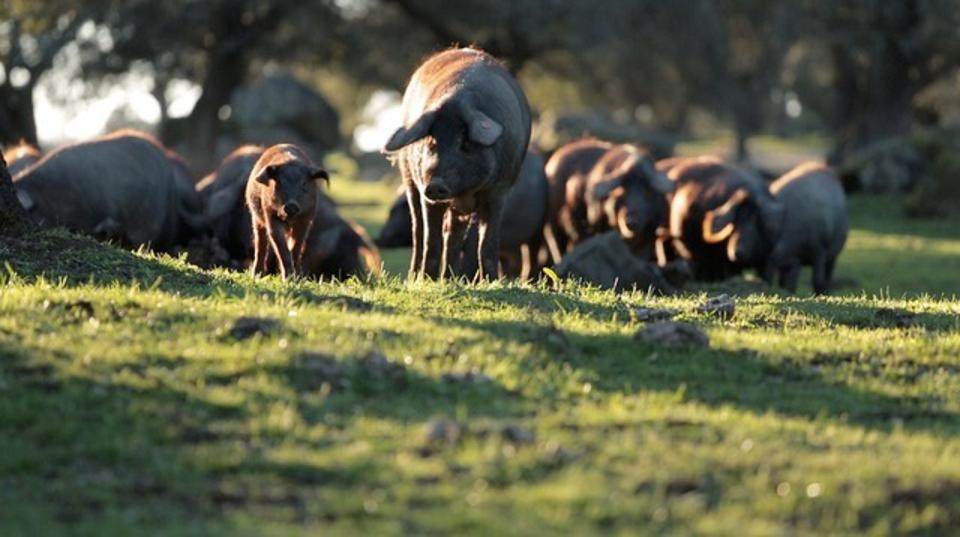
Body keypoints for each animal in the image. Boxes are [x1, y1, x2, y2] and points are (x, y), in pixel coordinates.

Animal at [244, 144, 329, 279]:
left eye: (304, 184)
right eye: (280, 184)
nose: (291, 205)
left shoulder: (306, 219)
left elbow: (297, 246)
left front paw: (297, 278)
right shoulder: (270, 214)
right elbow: (280, 245)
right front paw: (288, 278)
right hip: (255, 217)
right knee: (260, 243)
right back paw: (257, 275)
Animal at [382, 47, 532, 280]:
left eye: (465, 143)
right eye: (432, 141)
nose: (435, 184)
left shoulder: (499, 191)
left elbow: (487, 243)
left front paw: (491, 282)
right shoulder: (427, 195)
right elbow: (431, 241)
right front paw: (426, 281)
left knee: (453, 234)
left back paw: (450, 279)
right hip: (409, 181)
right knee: (419, 231)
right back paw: (417, 277)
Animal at [705, 162, 847, 294]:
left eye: (755, 222)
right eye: (735, 223)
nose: (736, 252)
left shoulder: (819, 250)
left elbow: (817, 280)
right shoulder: (779, 262)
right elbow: (776, 282)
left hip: (834, 254)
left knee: (828, 273)